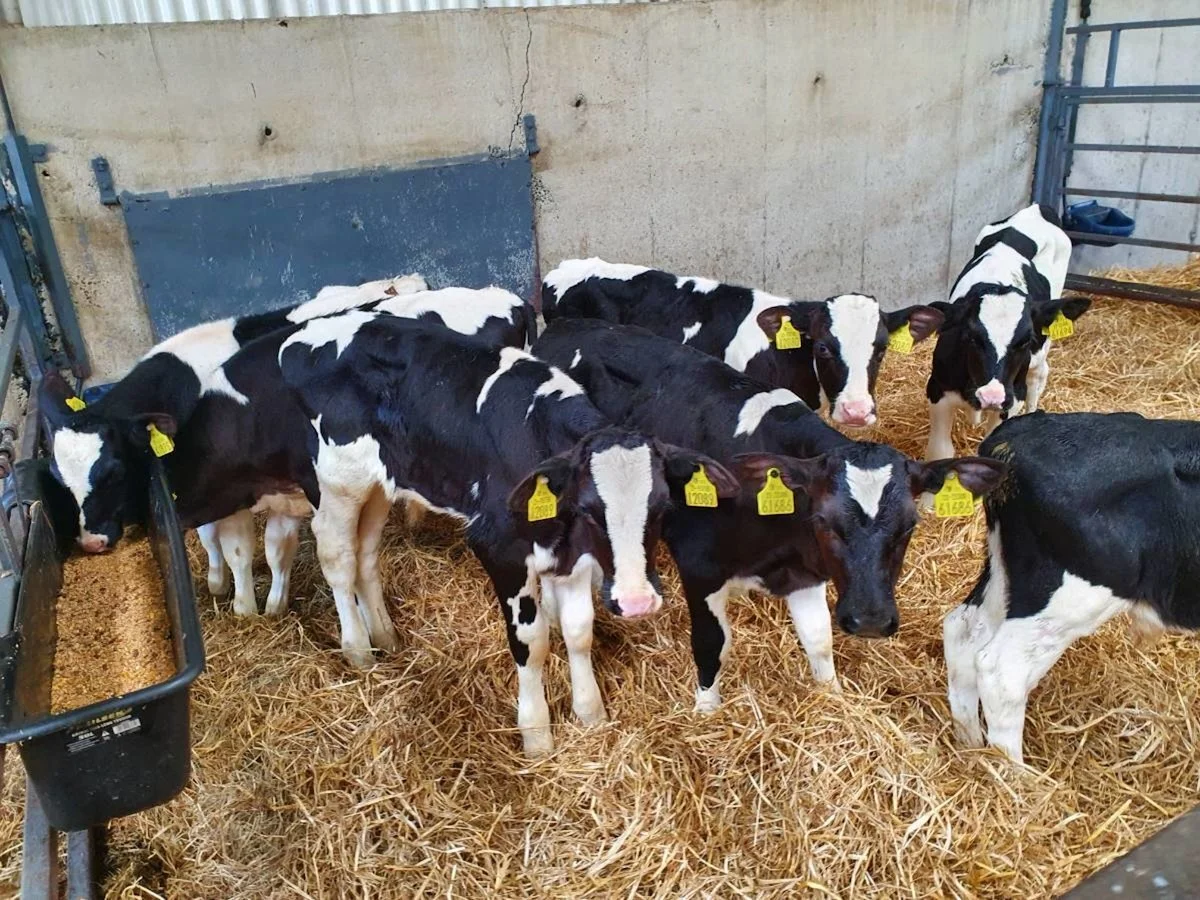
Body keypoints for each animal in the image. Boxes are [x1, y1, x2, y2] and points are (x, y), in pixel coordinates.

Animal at [42, 281, 531, 619]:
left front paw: (241, 603)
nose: (91, 542)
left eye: (114, 471)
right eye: (60, 480)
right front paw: (251, 596)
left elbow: (234, 544)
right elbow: (265, 545)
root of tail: (506, 297)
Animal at [533, 318, 1005, 709]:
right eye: (826, 522)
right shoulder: (700, 567)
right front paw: (707, 714)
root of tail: (564, 323)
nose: (871, 620)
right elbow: (711, 645)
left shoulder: (804, 574)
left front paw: (832, 698)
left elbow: (818, 641)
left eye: (909, 526)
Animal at [924, 204, 1088, 462]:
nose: (991, 396)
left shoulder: (1012, 399)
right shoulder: (937, 388)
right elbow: (940, 452)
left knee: (1039, 374)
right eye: (971, 337)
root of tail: (1039, 207)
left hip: (1041, 347)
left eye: (1025, 340)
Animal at [944, 411, 1200, 765]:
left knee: (962, 632)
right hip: (1072, 597)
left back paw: (970, 750)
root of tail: (1015, 439)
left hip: (1004, 572)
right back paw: (1015, 775)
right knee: (1002, 672)